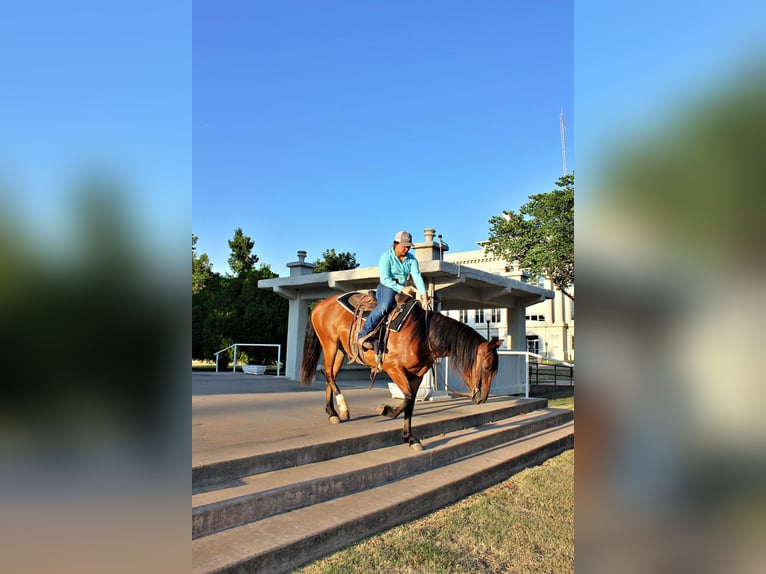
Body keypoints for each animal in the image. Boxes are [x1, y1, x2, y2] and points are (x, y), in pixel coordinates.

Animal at [300, 294, 504, 452]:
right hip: (330, 344)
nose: (482, 398)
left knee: (331, 375)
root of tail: (320, 304)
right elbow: (407, 397)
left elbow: (410, 402)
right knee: (327, 372)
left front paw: (410, 438)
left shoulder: (417, 375)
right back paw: (343, 408)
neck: (423, 334)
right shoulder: (393, 368)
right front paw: (385, 410)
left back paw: (332, 412)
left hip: (341, 350)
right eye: (487, 367)